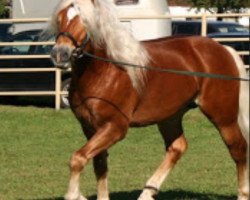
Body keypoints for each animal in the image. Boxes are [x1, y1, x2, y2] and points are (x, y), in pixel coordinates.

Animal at [47, 0, 249, 200]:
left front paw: (74, 194)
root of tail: (223, 49)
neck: (105, 72)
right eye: (60, 19)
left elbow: (78, 158)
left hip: (223, 116)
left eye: (86, 20)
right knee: (177, 147)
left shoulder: (115, 127)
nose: (60, 54)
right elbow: (100, 165)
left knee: (238, 148)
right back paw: (147, 192)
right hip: (170, 117)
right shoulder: (90, 128)